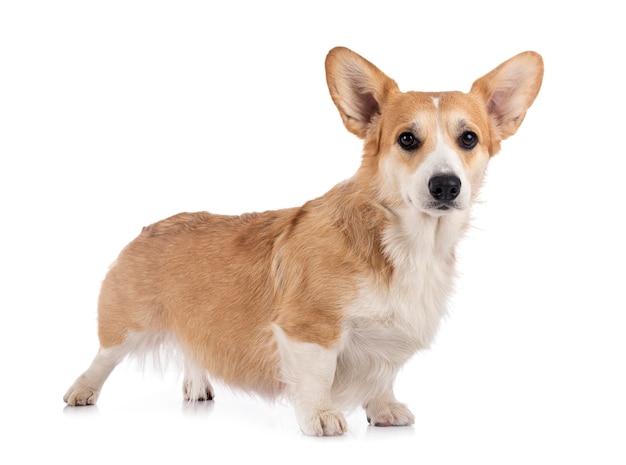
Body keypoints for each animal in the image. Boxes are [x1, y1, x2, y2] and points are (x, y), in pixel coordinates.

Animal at [62, 47, 540, 436]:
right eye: (407, 139)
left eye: (468, 138)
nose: (446, 185)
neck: (409, 242)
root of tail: (148, 227)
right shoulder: (309, 329)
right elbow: (317, 378)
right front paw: (320, 418)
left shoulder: (388, 341)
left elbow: (383, 375)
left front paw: (383, 410)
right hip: (125, 324)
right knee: (102, 358)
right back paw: (81, 391)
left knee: (194, 350)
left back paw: (197, 386)